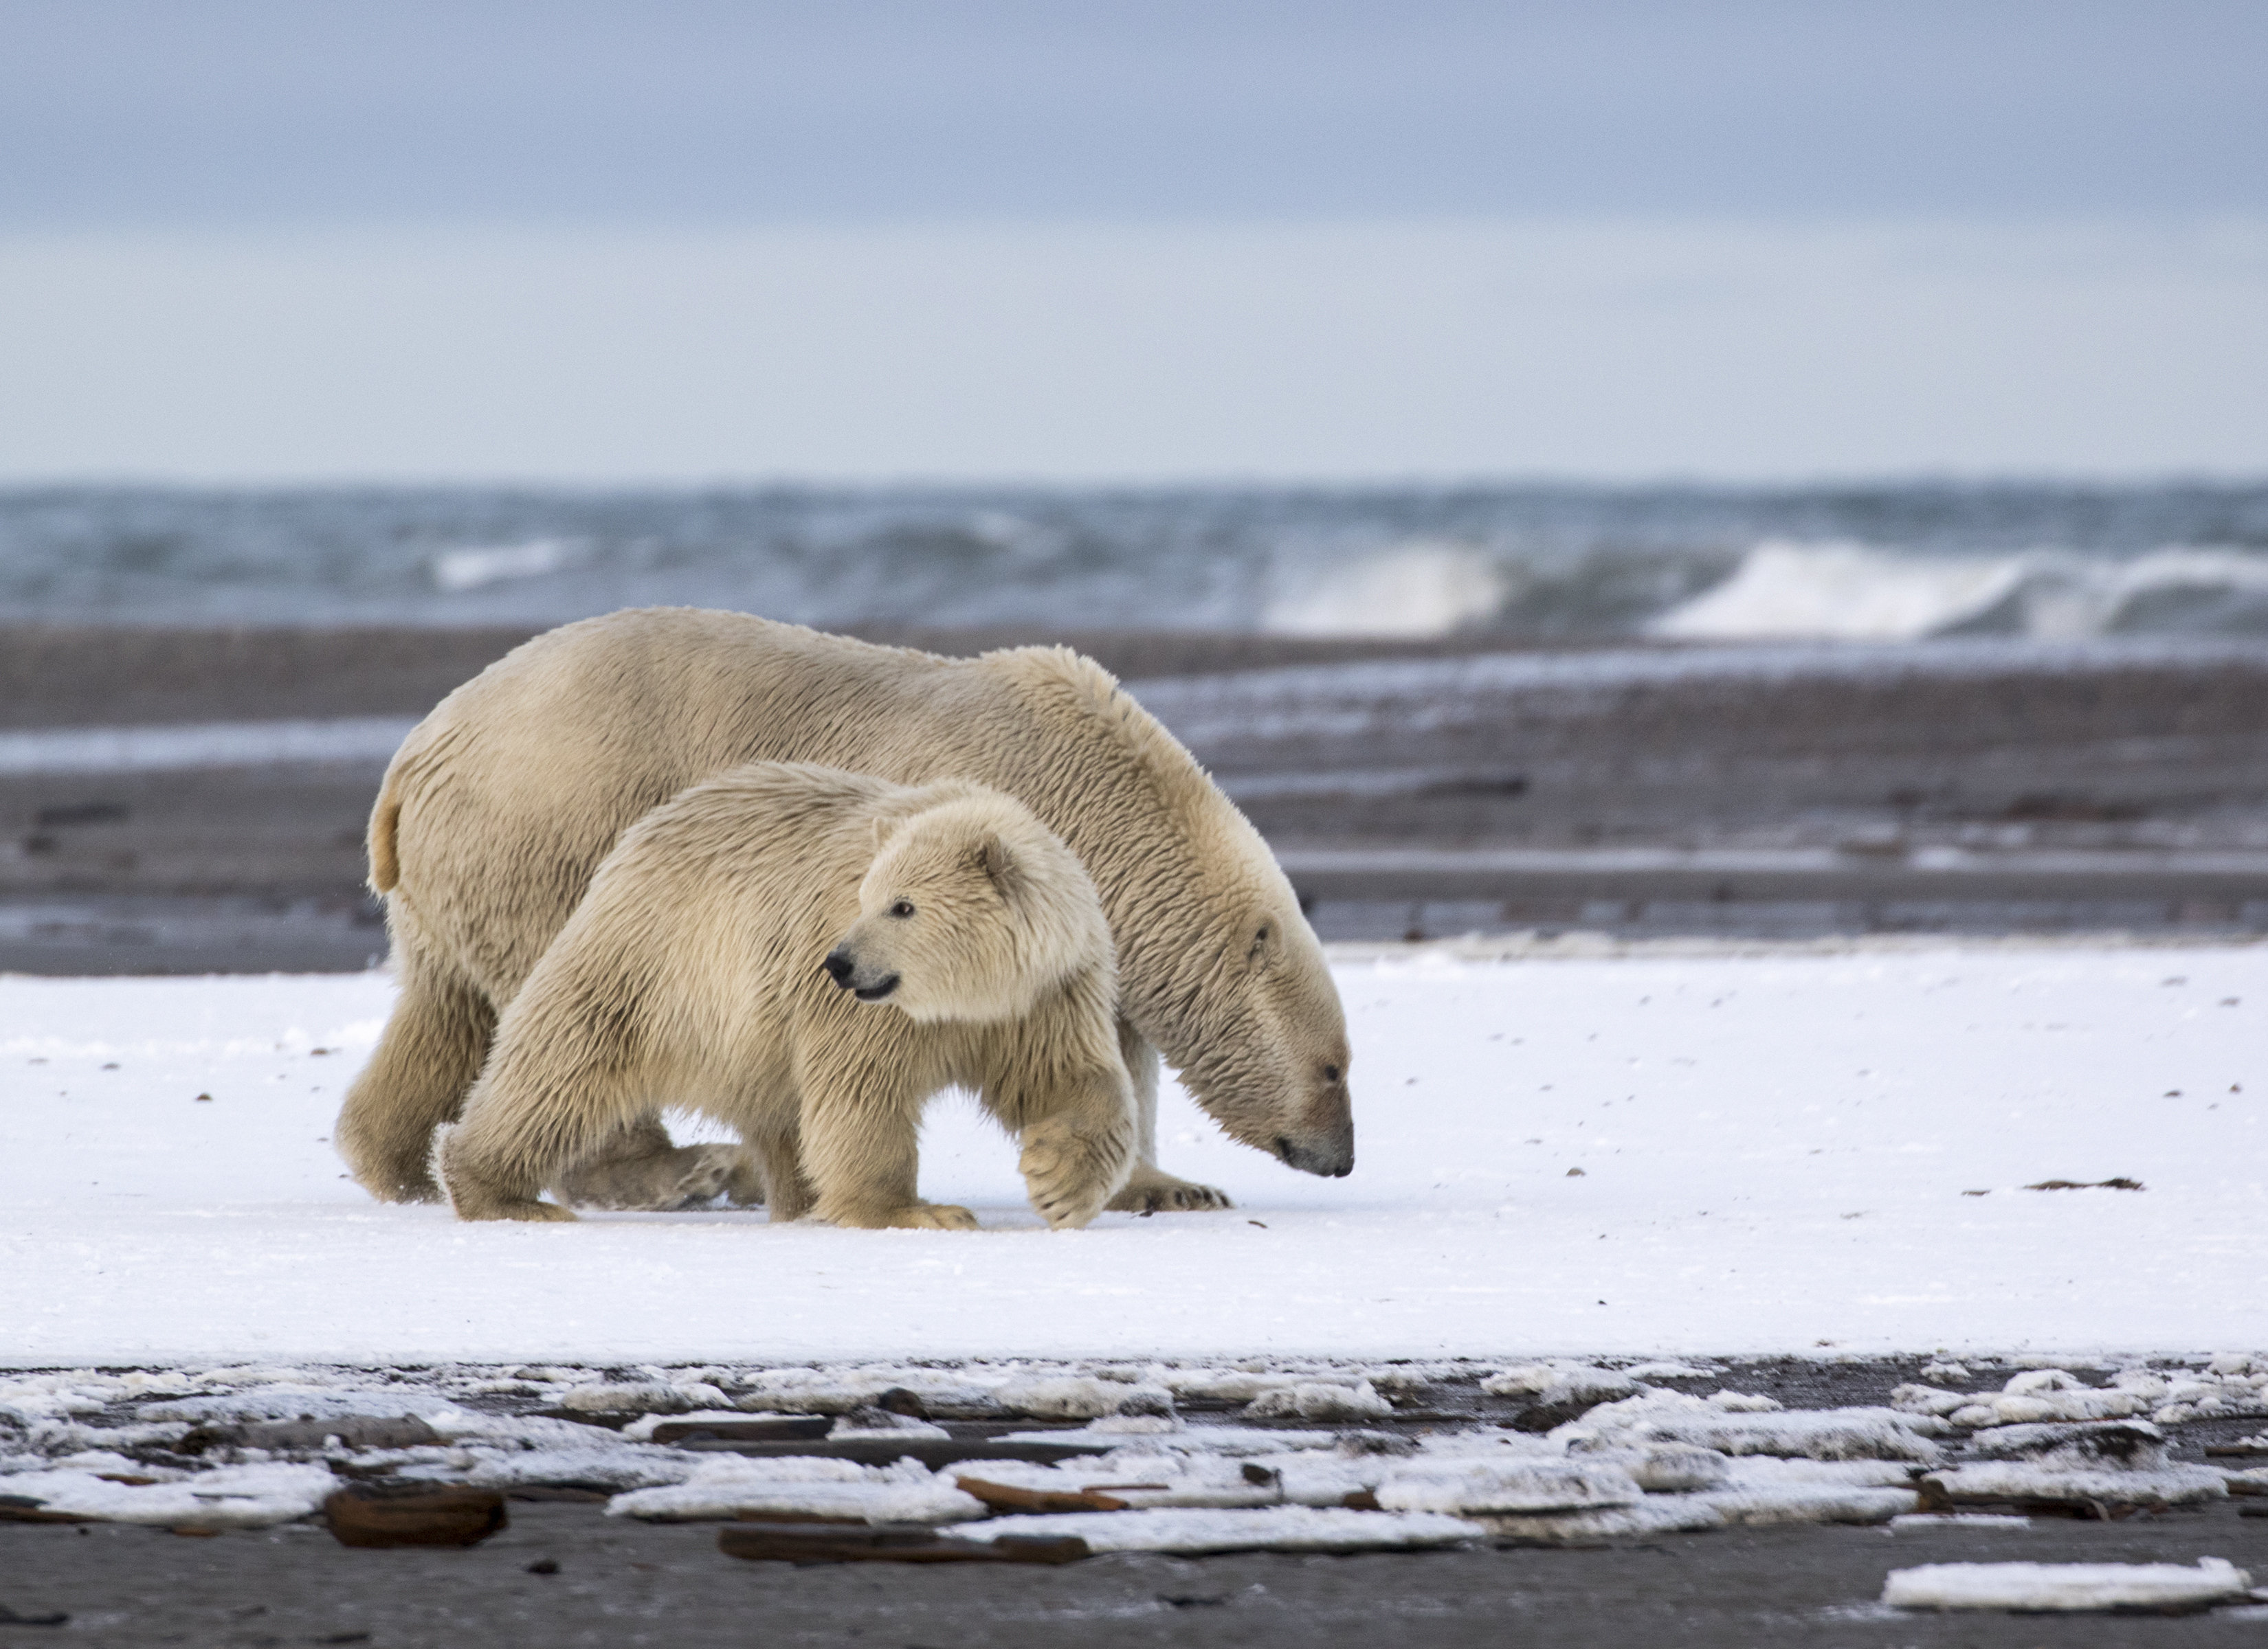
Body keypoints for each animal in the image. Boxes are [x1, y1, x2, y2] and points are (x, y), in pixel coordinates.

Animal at [340, 607, 1342, 1215]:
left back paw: (396, 1166)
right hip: (555, 835)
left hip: (455, 877)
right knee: (576, 1013)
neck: (1104, 792)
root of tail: (418, 752)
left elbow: (1115, 1045)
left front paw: (1171, 1186)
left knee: (445, 1008)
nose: (1340, 1157)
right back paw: (690, 1168)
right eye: (1336, 1067)